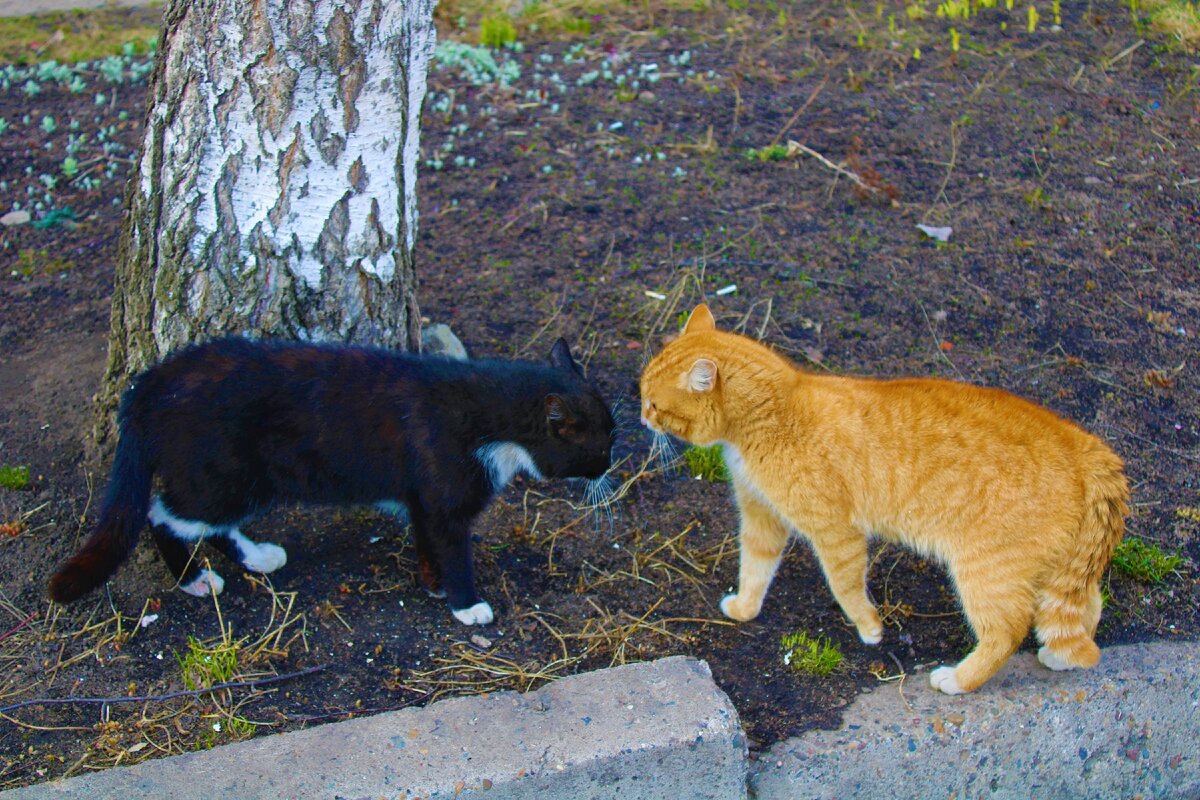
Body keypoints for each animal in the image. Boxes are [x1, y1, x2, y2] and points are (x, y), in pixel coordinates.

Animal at [48, 335, 614, 623]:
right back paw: (194, 579)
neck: (491, 416)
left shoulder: (423, 499)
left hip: (238, 480)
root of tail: (150, 383)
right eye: (600, 444)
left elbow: (427, 540)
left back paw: (257, 557)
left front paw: (432, 584)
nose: (610, 467)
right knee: (163, 514)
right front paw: (465, 603)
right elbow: (453, 548)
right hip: (225, 475)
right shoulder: (443, 493)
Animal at [643, 307, 1128, 695]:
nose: (642, 416)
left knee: (1007, 632)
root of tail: (1086, 447)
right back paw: (1058, 657)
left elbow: (844, 586)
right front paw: (745, 609)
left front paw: (868, 627)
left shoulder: (835, 533)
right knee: (1086, 609)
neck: (775, 412)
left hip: (987, 573)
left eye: (654, 404)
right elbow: (755, 569)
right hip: (1056, 571)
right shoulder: (762, 517)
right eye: (643, 395)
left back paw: (958, 680)